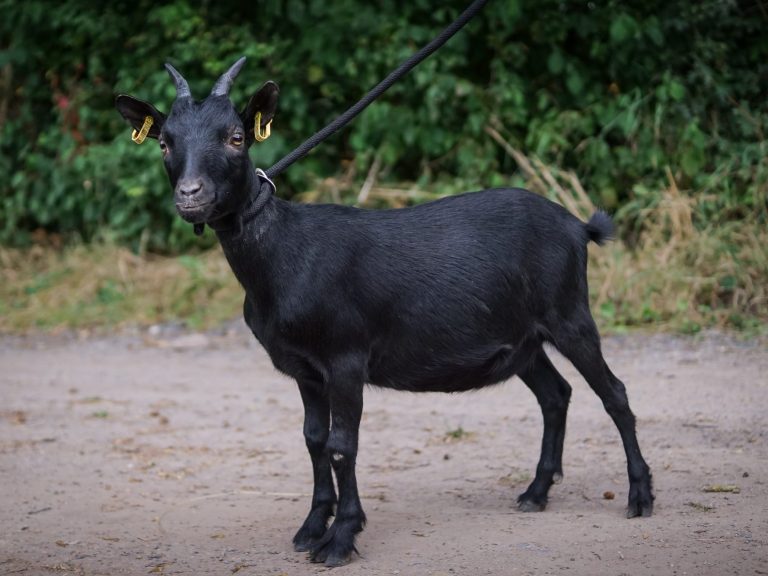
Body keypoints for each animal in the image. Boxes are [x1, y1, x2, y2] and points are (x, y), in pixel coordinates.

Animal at [116, 57, 653, 567]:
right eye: (164, 144)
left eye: (236, 137)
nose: (191, 195)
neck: (285, 255)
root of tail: (577, 227)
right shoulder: (305, 370)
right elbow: (313, 439)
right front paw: (312, 527)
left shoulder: (346, 358)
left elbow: (341, 445)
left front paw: (341, 539)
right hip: (522, 339)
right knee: (555, 394)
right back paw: (536, 492)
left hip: (569, 313)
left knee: (614, 393)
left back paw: (639, 496)